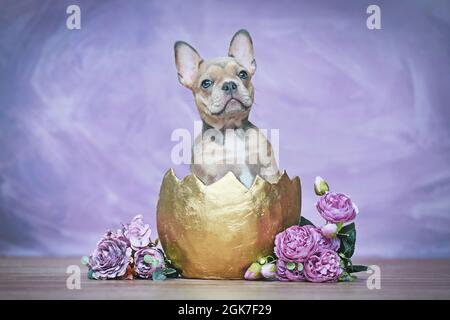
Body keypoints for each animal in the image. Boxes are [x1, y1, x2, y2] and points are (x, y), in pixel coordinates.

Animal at [174, 29, 280, 188]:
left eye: (243, 74)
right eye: (206, 83)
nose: (229, 84)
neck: (230, 129)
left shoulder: (269, 169)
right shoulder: (212, 179)